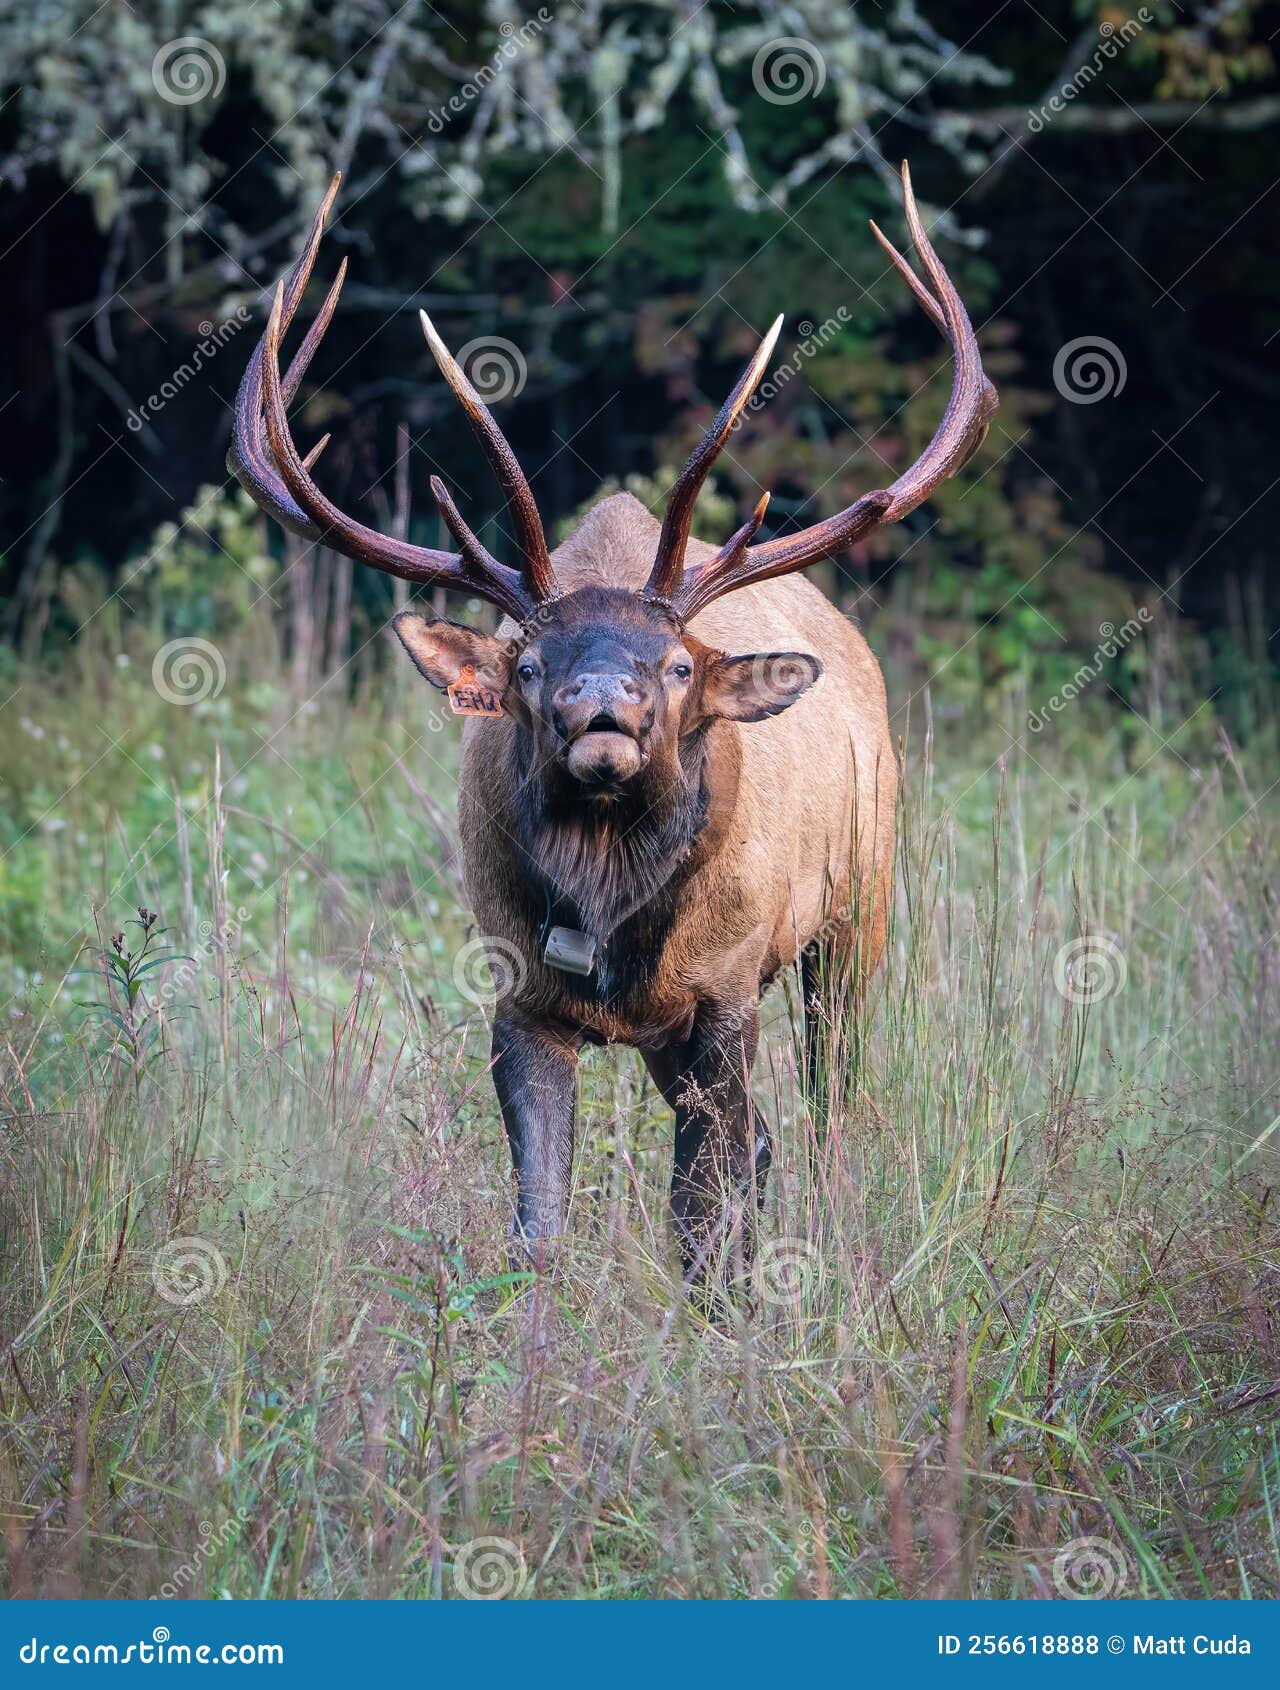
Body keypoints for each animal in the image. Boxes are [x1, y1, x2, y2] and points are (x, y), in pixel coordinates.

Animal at [229, 164, 997, 1300]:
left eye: (677, 664)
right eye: (527, 665)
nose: (604, 708)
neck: (608, 911)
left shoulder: (726, 991)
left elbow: (702, 1213)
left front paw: (727, 1318)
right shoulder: (519, 995)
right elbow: (539, 1233)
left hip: (861, 903)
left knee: (828, 1107)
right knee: (765, 1138)